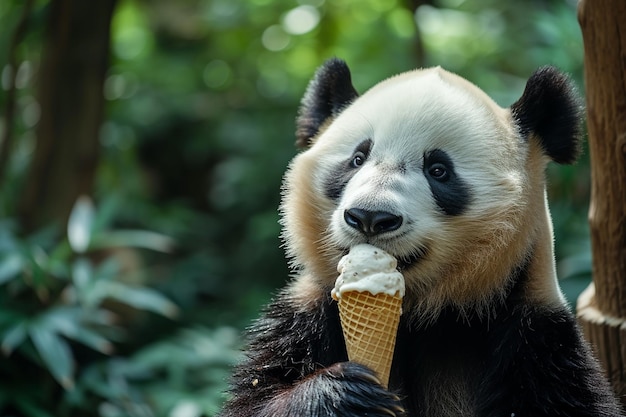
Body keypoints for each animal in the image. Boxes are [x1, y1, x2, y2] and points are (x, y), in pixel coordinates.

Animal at [217, 59, 620, 416]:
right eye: (357, 159)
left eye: (438, 170)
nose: (370, 217)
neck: (424, 313)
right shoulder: (305, 319)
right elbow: (255, 400)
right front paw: (343, 394)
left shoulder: (538, 340)